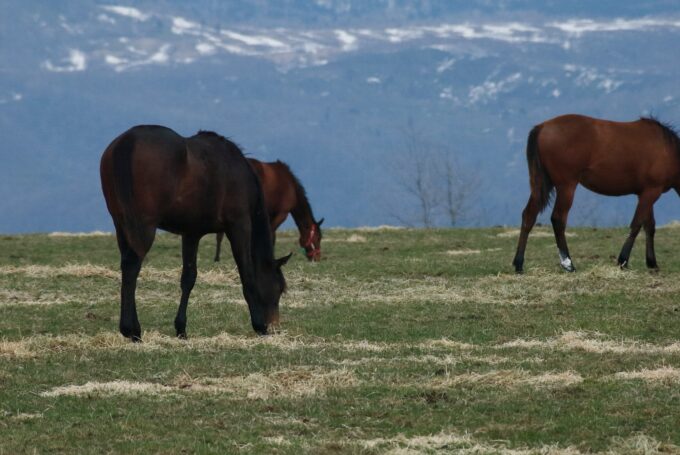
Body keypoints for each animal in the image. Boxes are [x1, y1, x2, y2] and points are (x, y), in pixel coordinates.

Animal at [100, 125, 290, 342]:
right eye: (279, 289)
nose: (274, 326)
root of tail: (127, 141)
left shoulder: (191, 234)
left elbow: (188, 278)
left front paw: (181, 328)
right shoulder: (239, 225)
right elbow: (247, 275)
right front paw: (259, 325)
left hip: (121, 225)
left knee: (126, 266)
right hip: (143, 226)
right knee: (132, 266)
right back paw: (132, 329)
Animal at [512, 115, 676, 274]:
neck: (666, 148)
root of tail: (542, 127)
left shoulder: (645, 194)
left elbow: (649, 226)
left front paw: (652, 263)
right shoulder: (651, 192)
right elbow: (637, 225)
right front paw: (623, 260)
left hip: (540, 185)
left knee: (528, 216)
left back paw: (519, 263)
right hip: (566, 187)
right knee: (558, 219)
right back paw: (568, 264)